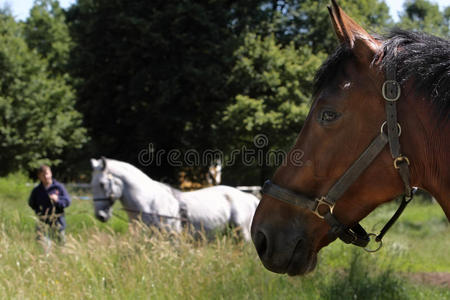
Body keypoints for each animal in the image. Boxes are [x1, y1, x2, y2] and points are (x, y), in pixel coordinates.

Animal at [89, 158, 258, 240]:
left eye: (102, 184)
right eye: (91, 184)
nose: (100, 215)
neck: (149, 204)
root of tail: (249, 197)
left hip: (243, 235)